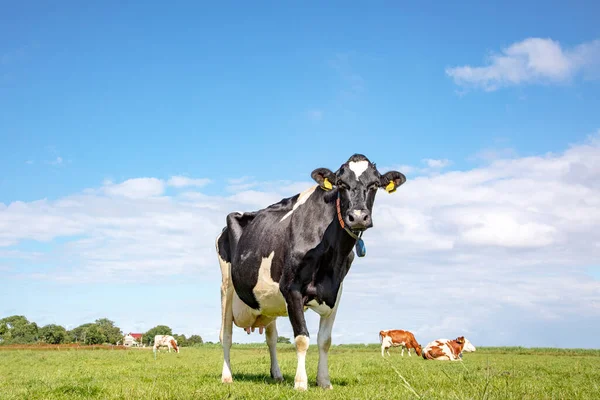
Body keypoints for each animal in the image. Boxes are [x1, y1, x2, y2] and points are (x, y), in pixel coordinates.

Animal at [213, 154, 406, 390]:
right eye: (341, 183)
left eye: (375, 184)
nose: (358, 217)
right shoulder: (291, 288)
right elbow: (302, 338)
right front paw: (300, 383)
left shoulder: (335, 292)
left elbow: (325, 340)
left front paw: (324, 381)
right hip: (226, 287)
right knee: (225, 335)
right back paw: (226, 376)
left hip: (267, 302)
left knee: (271, 338)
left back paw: (276, 374)